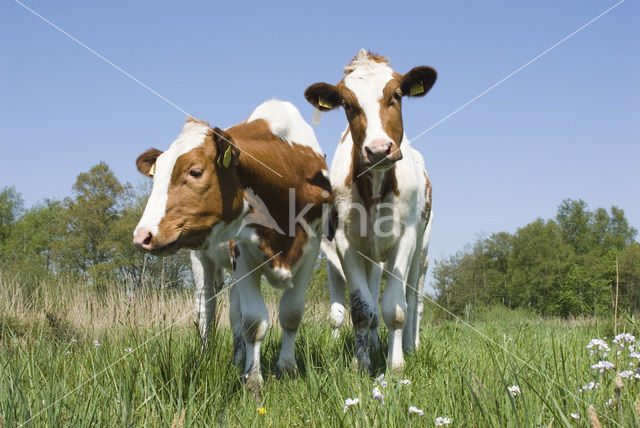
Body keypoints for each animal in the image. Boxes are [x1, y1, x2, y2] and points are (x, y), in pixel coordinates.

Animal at [131, 99, 330, 392]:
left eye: (195, 171)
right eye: (156, 178)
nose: (142, 235)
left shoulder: (311, 249)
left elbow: (291, 314)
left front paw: (287, 370)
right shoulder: (244, 255)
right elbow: (254, 322)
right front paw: (254, 381)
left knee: (235, 315)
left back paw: (238, 359)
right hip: (202, 259)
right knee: (207, 309)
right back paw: (207, 357)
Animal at [304, 49, 436, 372]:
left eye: (397, 95)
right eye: (348, 104)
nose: (377, 150)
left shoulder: (405, 238)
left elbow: (396, 308)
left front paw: (397, 364)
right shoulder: (343, 244)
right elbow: (362, 309)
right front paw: (361, 362)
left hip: (422, 250)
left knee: (414, 300)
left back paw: (411, 345)